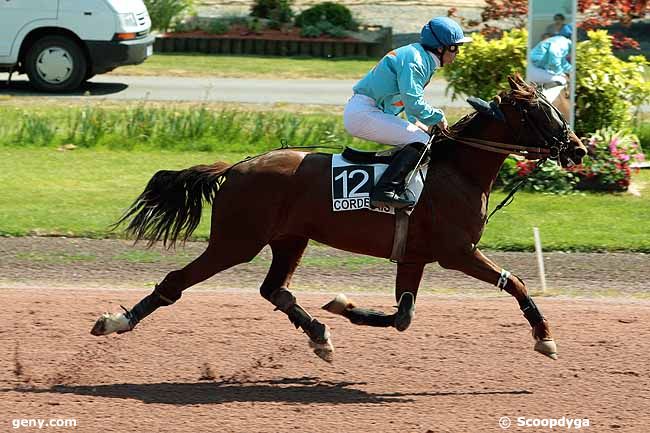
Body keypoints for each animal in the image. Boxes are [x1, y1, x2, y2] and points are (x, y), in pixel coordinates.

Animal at [90, 74, 584, 362]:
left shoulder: (415, 256)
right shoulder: (456, 251)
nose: (577, 148)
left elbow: (402, 316)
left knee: (275, 289)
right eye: (538, 112)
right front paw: (544, 336)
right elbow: (515, 282)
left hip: (289, 239)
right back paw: (117, 321)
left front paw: (342, 307)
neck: (457, 170)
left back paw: (319, 334)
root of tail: (235, 167)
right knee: (176, 282)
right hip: (236, 241)